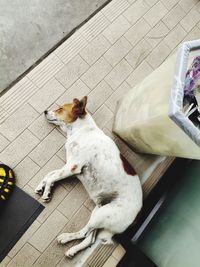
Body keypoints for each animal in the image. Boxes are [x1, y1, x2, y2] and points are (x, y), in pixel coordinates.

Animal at [35, 97, 142, 260]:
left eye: (60, 109)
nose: (45, 111)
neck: (82, 132)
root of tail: (136, 218)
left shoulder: (73, 166)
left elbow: (52, 177)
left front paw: (47, 192)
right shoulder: (69, 165)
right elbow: (49, 174)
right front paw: (40, 187)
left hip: (102, 215)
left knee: (84, 233)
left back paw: (65, 238)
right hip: (98, 211)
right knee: (89, 239)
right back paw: (73, 250)